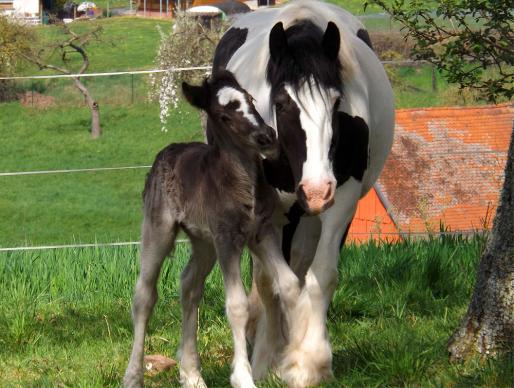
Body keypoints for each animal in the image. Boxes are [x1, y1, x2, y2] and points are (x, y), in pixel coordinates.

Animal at [210, 1, 394, 386]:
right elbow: (268, 283)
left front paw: (309, 362)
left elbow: (321, 275)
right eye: (282, 102)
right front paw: (266, 359)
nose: (316, 189)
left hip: (306, 217)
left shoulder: (342, 202)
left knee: (299, 265)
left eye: (336, 102)